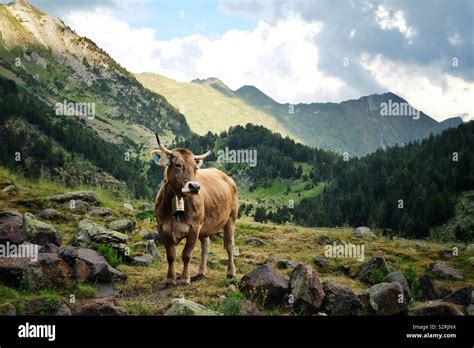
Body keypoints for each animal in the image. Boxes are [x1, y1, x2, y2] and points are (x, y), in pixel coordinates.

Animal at [151, 134, 239, 286]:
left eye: (195, 167)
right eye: (178, 165)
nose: (195, 187)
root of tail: (228, 178)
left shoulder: (194, 227)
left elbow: (186, 254)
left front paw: (185, 279)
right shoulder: (162, 228)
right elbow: (171, 255)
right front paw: (170, 279)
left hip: (230, 219)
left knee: (229, 245)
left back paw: (231, 273)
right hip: (206, 225)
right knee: (205, 246)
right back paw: (201, 272)